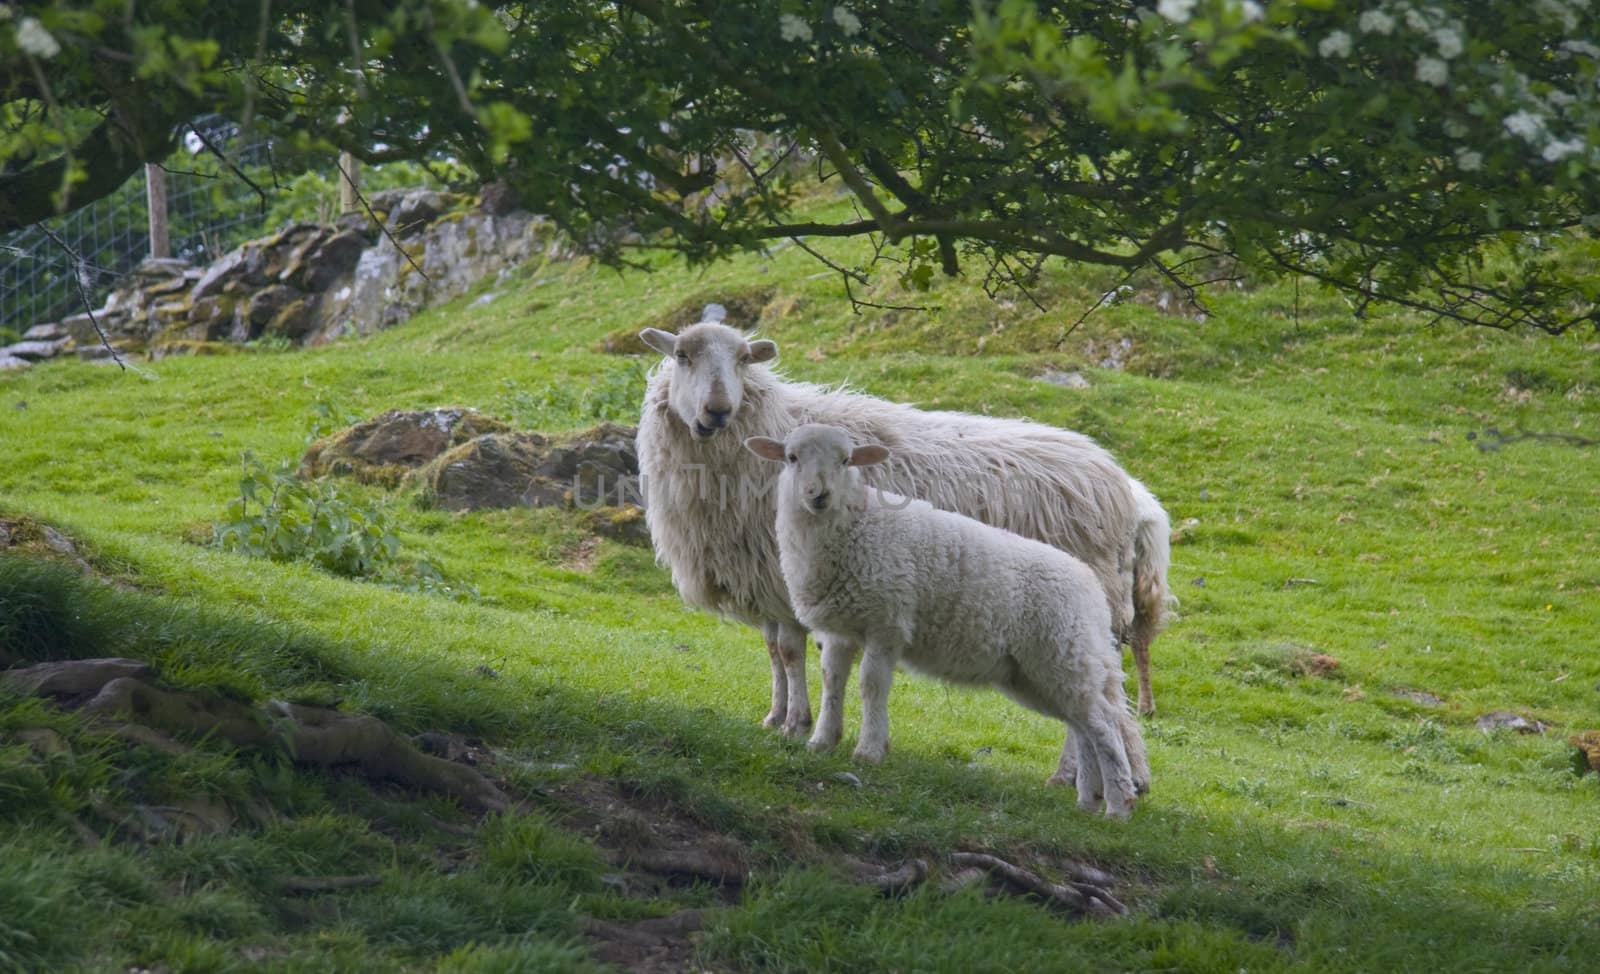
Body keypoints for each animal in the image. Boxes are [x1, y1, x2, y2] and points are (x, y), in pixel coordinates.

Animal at [636, 316, 1177, 745]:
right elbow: (774, 653)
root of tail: (1127, 485)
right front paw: (775, 716)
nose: (717, 411)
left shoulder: (786, 576)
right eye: (682, 356)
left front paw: (795, 722)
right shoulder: (764, 577)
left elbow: (789, 653)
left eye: (744, 360)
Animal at [742, 422, 1145, 812]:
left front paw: (869, 751)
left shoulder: (887, 622)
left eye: (845, 460)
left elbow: (871, 685)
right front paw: (823, 741)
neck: (854, 526)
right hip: (1042, 672)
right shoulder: (842, 627)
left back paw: (1118, 806)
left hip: (1061, 655)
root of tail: (1092, 590)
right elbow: (832, 682)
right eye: (792, 457)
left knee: (1104, 725)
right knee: (1083, 726)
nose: (818, 495)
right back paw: (1088, 802)